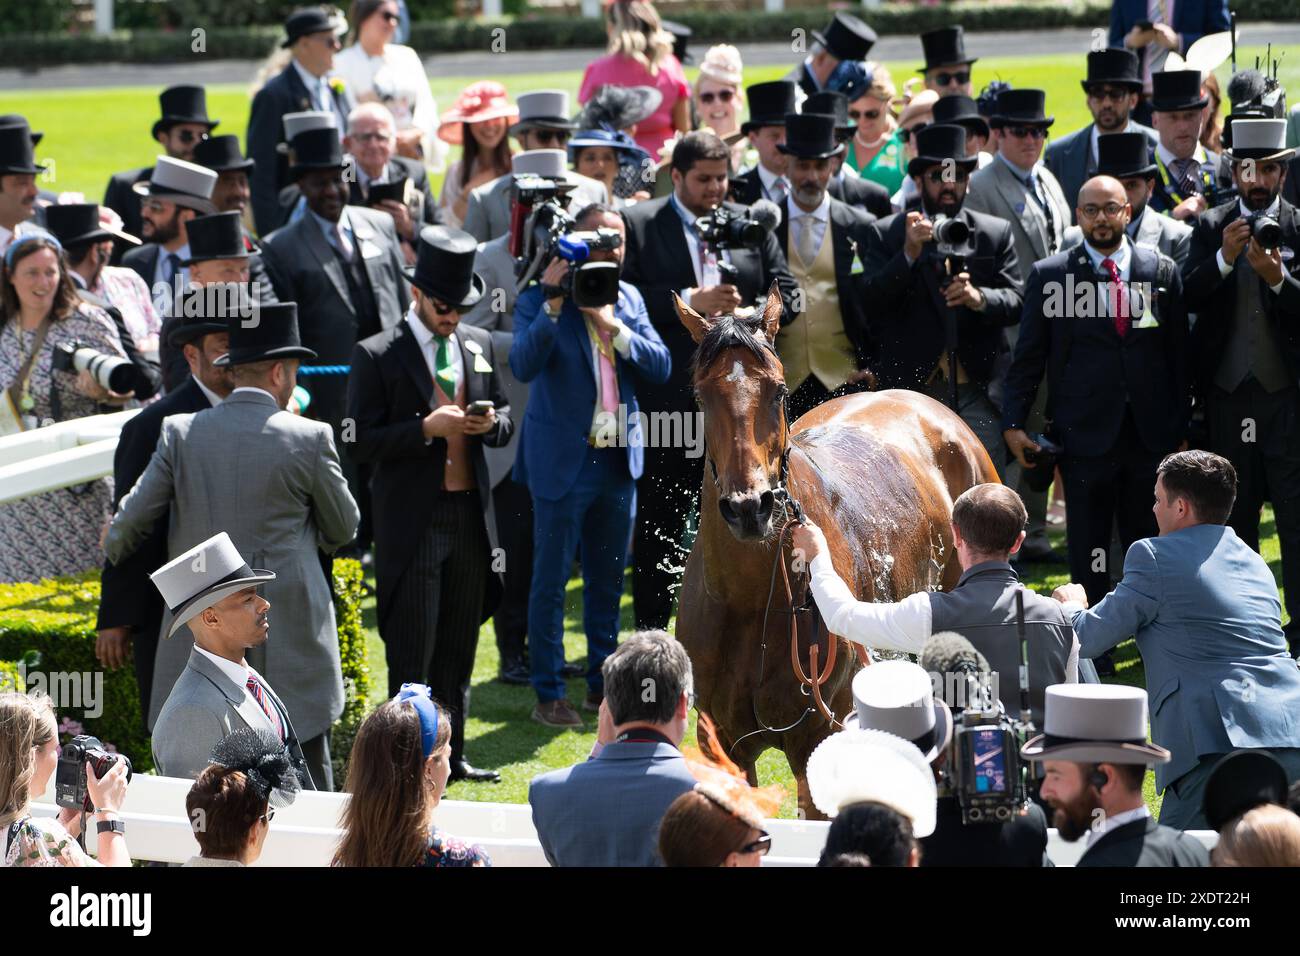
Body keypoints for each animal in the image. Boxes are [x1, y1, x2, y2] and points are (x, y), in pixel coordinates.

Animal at [676, 283, 998, 816]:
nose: (749, 508)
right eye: (702, 395)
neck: (748, 604)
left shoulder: (821, 736)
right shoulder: (722, 743)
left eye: (778, 390)